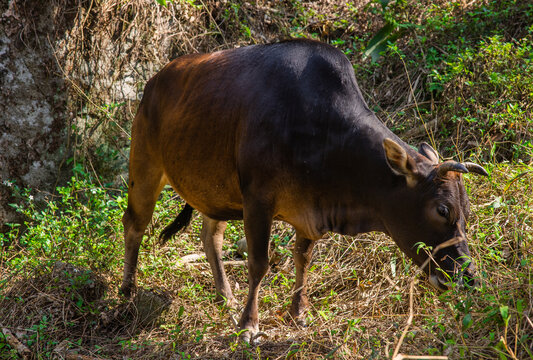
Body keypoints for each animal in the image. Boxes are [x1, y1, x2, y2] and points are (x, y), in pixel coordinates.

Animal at [120, 39, 486, 344]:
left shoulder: (308, 211)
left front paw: (298, 313)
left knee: (211, 236)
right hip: (144, 166)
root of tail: (155, 81)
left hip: (217, 191)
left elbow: (303, 259)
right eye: (442, 210)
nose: (468, 277)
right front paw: (249, 326)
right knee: (133, 225)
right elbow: (259, 263)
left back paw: (226, 298)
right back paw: (126, 294)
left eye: (467, 212)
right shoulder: (258, 200)